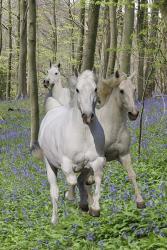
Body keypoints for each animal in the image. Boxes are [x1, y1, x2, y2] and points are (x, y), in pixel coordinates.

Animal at [35, 71, 105, 225]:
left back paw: (85, 203)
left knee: (82, 181)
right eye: (77, 90)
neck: (83, 134)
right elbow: (71, 181)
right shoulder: (66, 163)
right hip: (50, 164)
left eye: (96, 89)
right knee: (54, 192)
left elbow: (96, 179)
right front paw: (70, 196)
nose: (87, 116)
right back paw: (55, 220)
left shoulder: (96, 161)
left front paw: (95, 208)